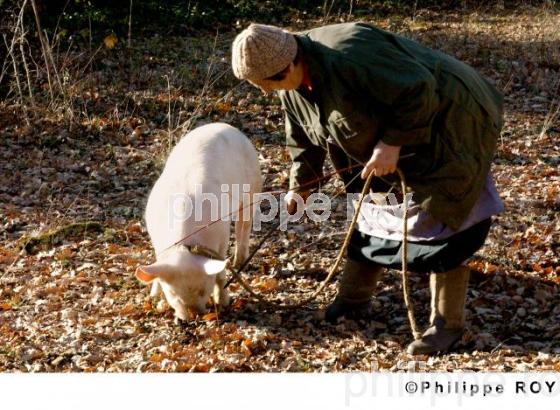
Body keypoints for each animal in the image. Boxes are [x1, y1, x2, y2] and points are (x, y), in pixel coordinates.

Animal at [138, 121, 264, 320]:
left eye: (203, 289)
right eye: (172, 293)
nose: (193, 315)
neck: (186, 245)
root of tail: (225, 125)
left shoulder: (221, 237)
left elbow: (220, 272)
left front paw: (224, 303)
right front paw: (155, 300)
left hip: (253, 189)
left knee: (244, 227)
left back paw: (239, 262)